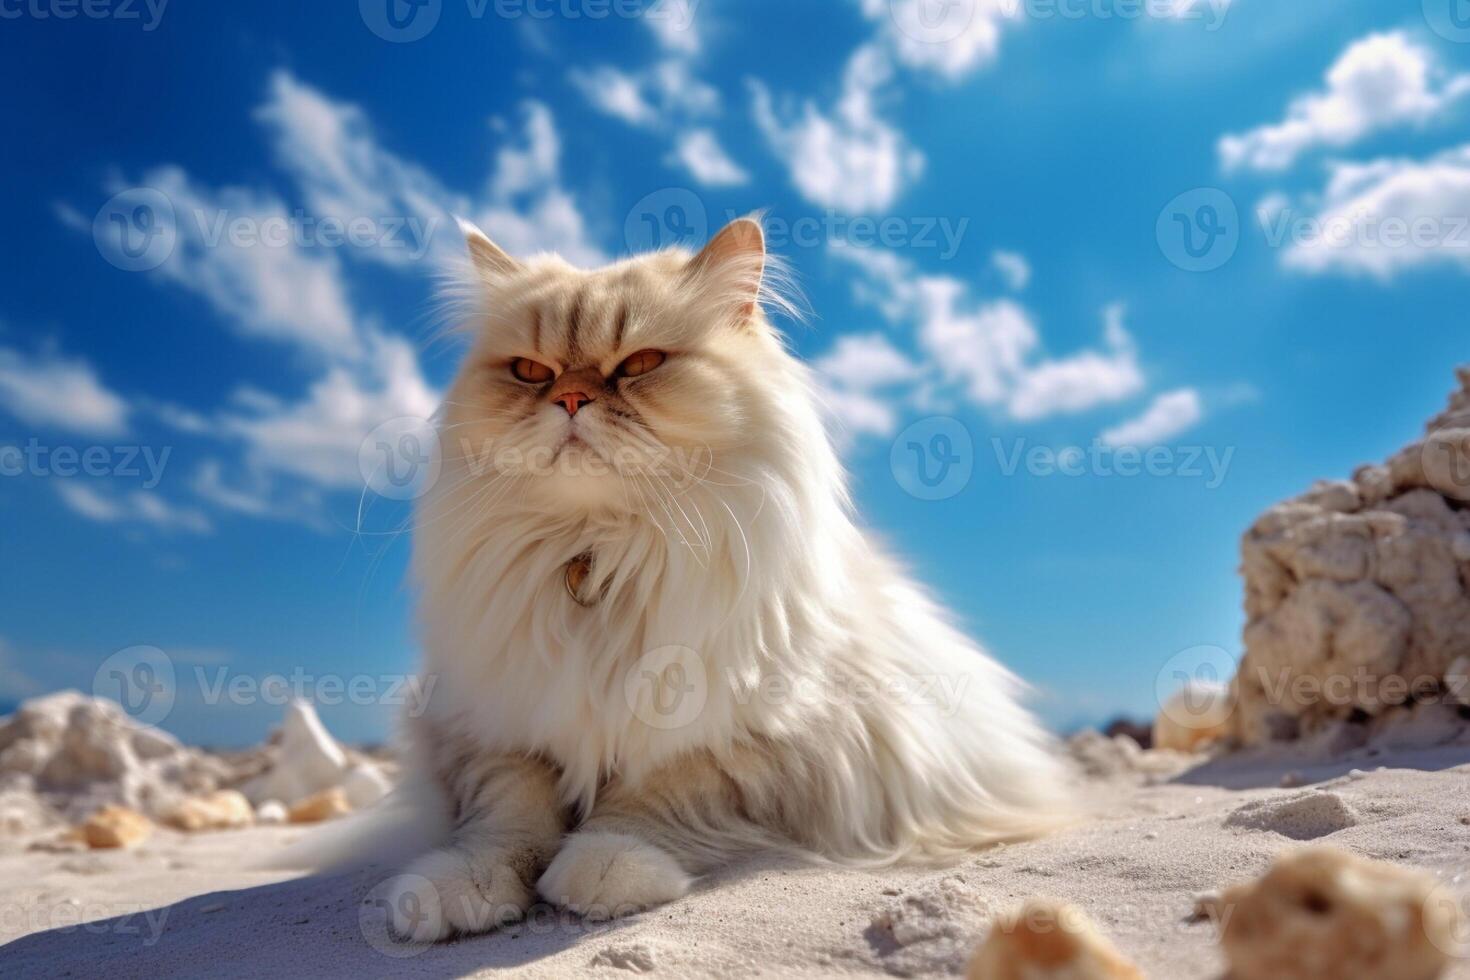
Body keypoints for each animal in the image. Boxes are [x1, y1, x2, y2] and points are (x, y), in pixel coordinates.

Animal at [357, 215, 1070, 940]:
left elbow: (655, 798)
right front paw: (458, 890)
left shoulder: (755, 735)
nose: (570, 397)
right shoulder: (488, 725)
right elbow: (507, 816)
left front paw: (603, 869)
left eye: (639, 364)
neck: (599, 554)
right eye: (531, 371)